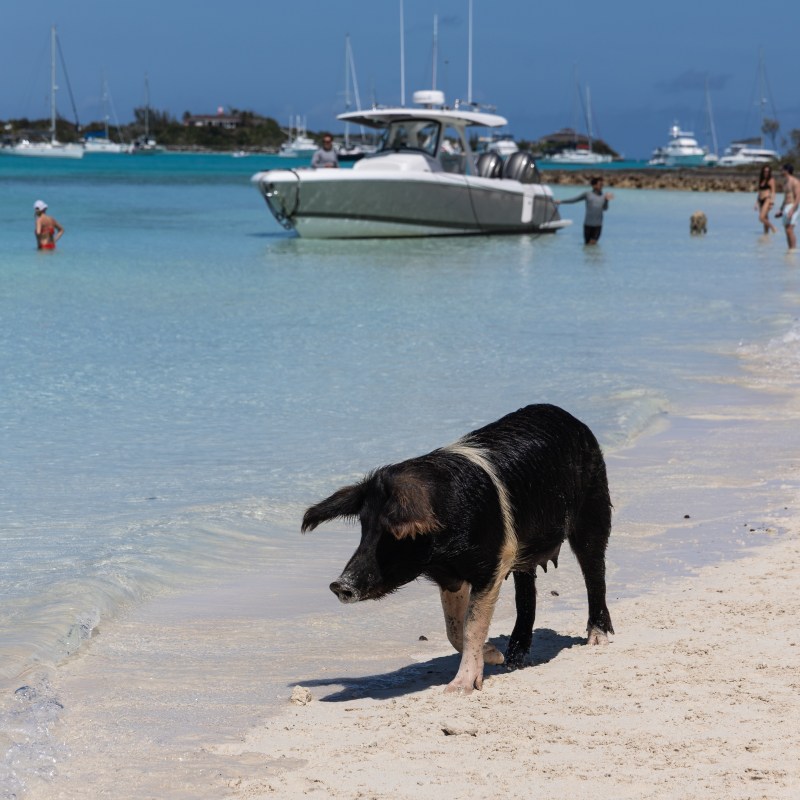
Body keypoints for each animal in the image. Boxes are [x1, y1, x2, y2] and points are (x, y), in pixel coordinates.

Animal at [301, 404, 614, 694]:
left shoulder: (493, 562)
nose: (339, 585)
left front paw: (458, 689)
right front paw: (494, 655)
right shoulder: (450, 575)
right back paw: (513, 658)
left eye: (393, 534)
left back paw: (597, 639)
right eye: (364, 527)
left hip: (594, 507)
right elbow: (455, 628)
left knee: (594, 570)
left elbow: (473, 625)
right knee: (526, 590)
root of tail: (570, 418)